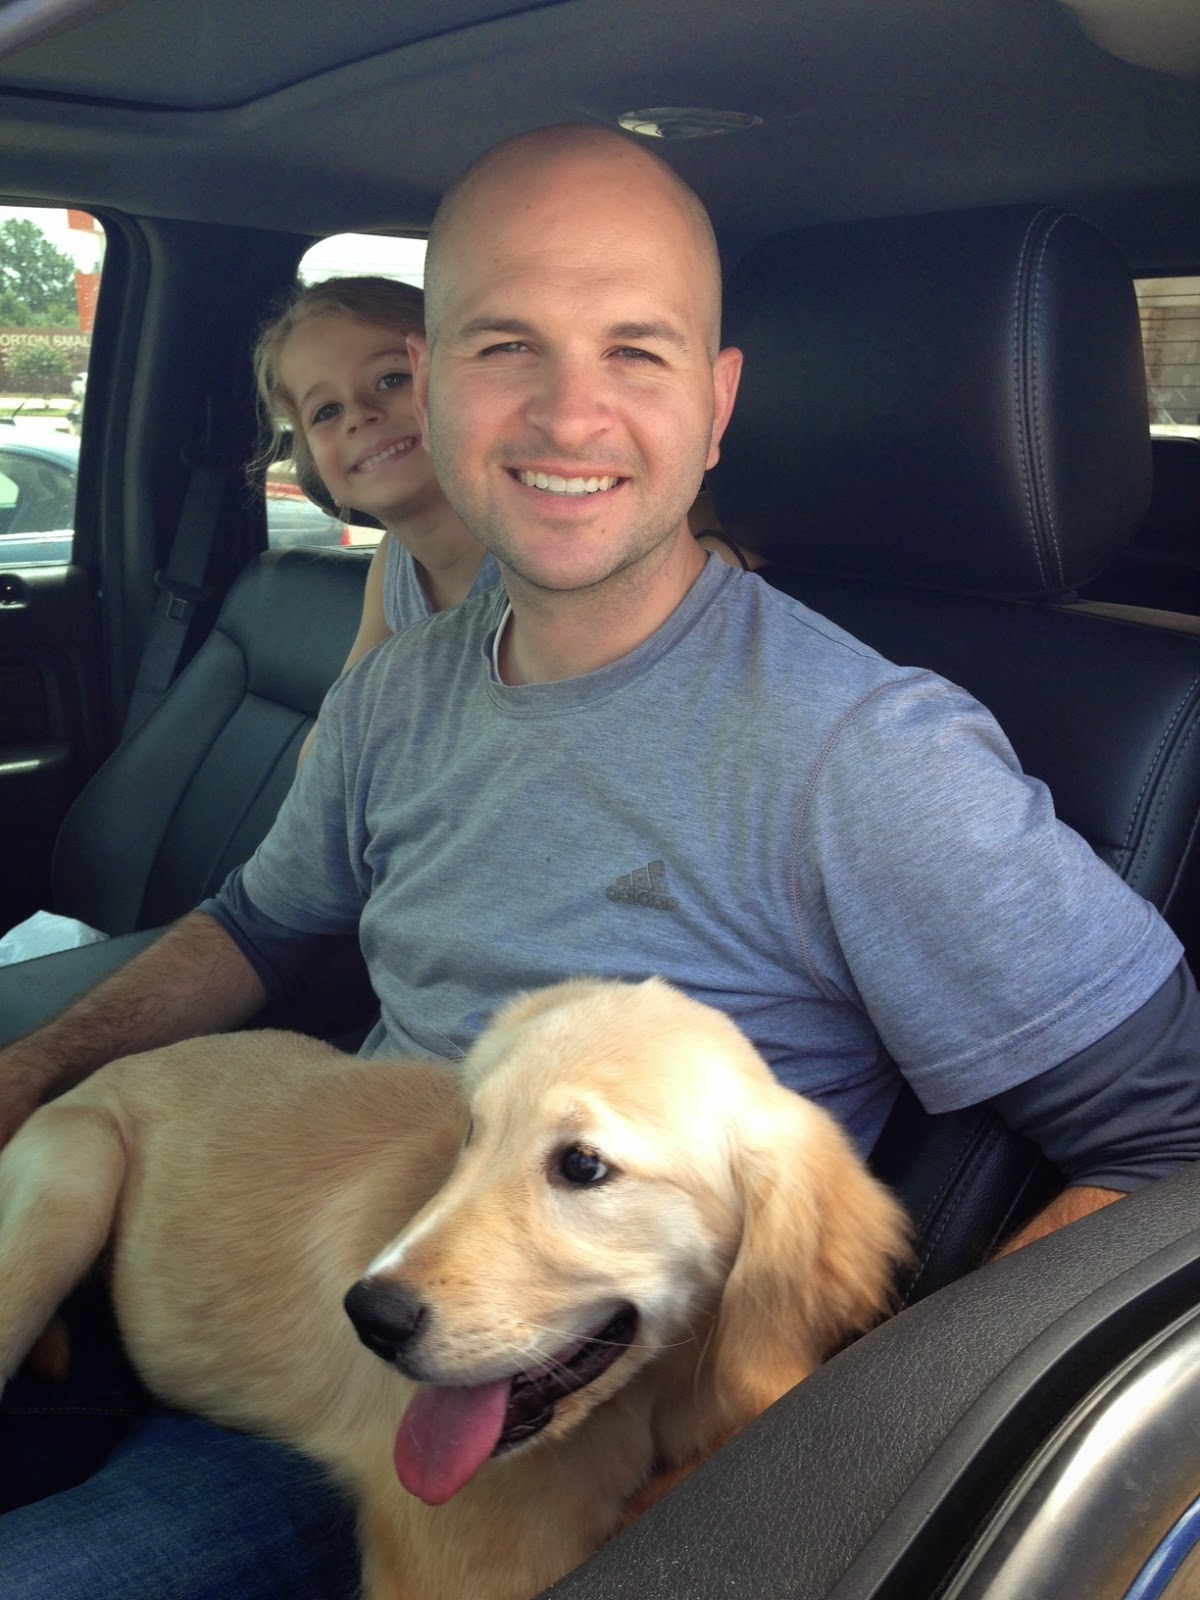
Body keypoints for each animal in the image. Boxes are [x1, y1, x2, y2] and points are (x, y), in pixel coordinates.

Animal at [0, 977, 909, 1600]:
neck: (639, 1405)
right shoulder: (471, 1573)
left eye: (584, 1166)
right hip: (74, 1179)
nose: (368, 1318)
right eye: (472, 1133)